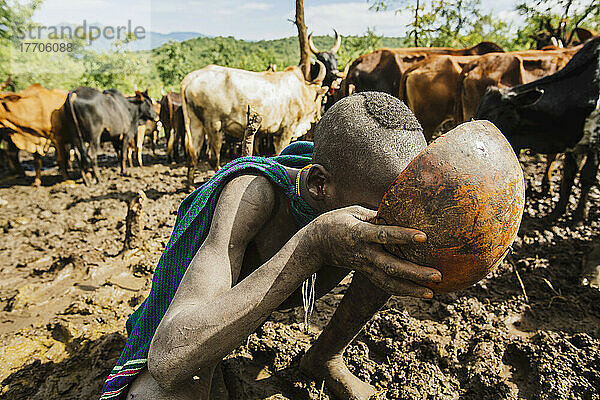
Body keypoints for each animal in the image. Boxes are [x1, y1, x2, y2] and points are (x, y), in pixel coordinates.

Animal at [474, 35, 600, 220]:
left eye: (493, 115)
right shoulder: (573, 146)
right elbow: (568, 175)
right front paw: (557, 212)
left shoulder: (595, 143)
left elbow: (586, 177)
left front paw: (578, 217)